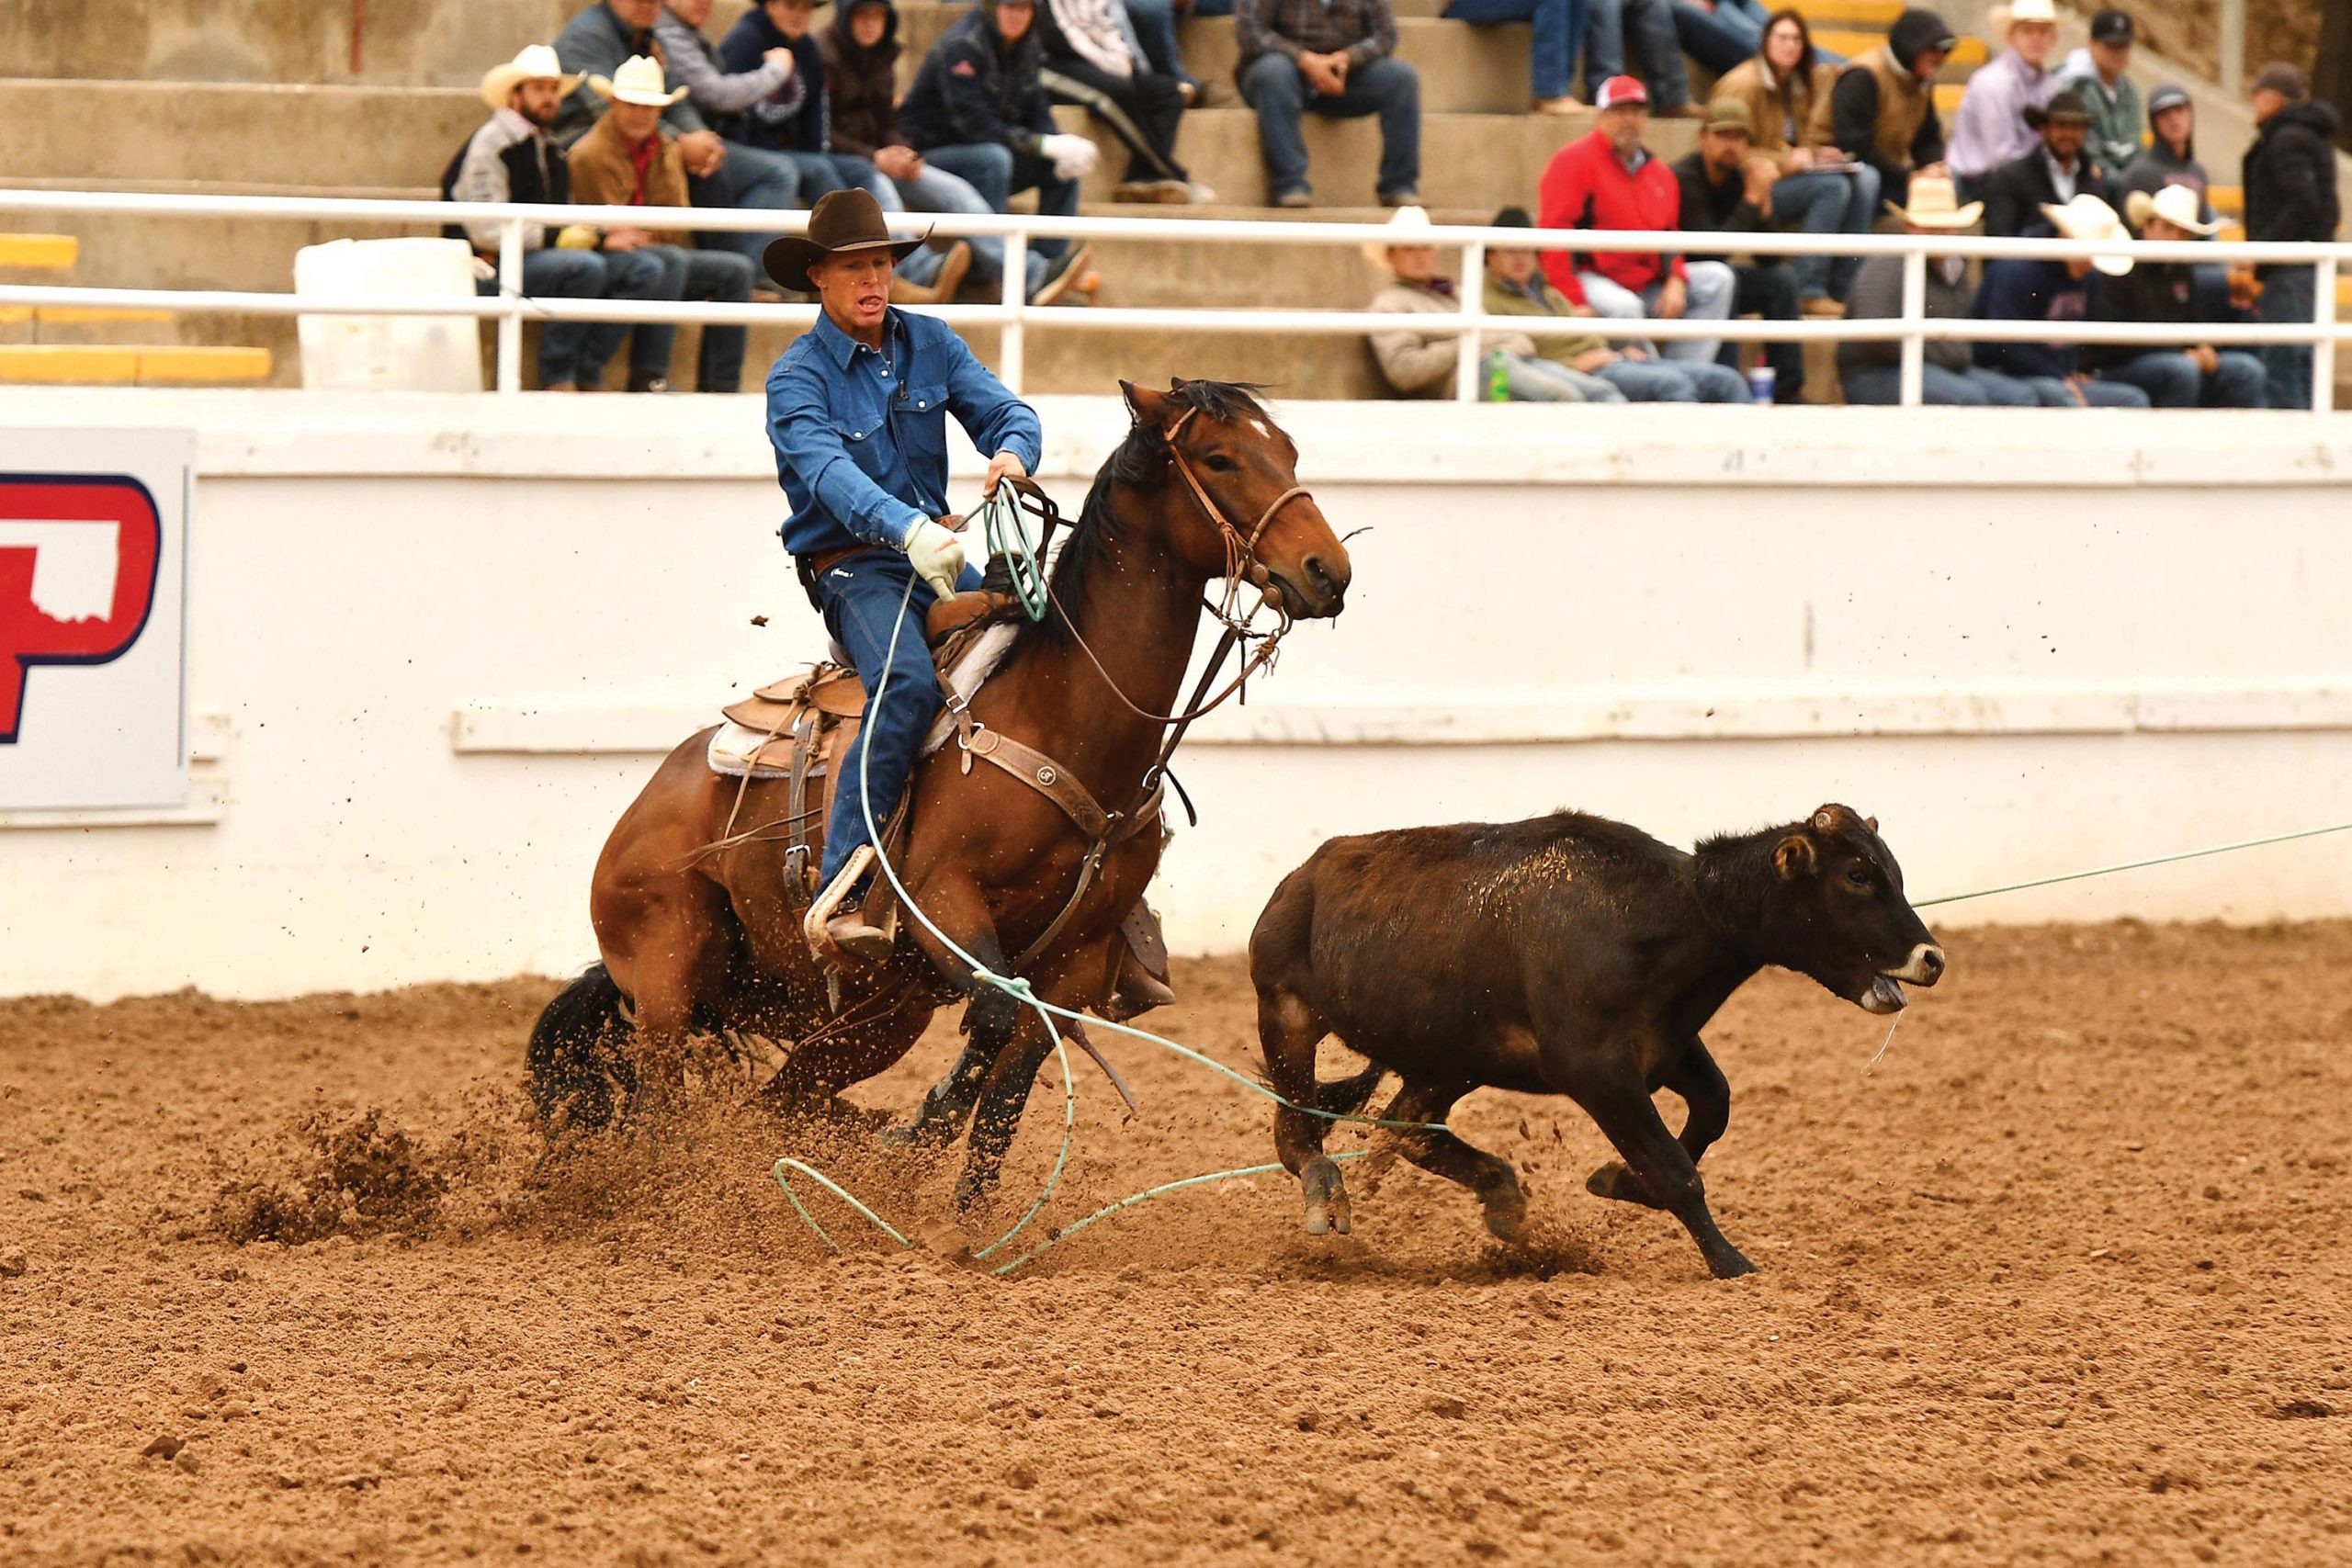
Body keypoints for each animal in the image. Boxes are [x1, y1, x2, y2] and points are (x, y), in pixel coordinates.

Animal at [524, 380, 1354, 1213]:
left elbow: (1012, 1078)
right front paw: (914, 1139)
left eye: (1287, 451)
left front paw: (959, 1218)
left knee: (778, 1102)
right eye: (1219, 457)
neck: (1065, 715)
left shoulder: (1080, 959)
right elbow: (993, 1014)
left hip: (866, 1013)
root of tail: (647, 806)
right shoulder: (941, 902)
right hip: (668, 973)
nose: (1330, 570)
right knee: (660, 1112)